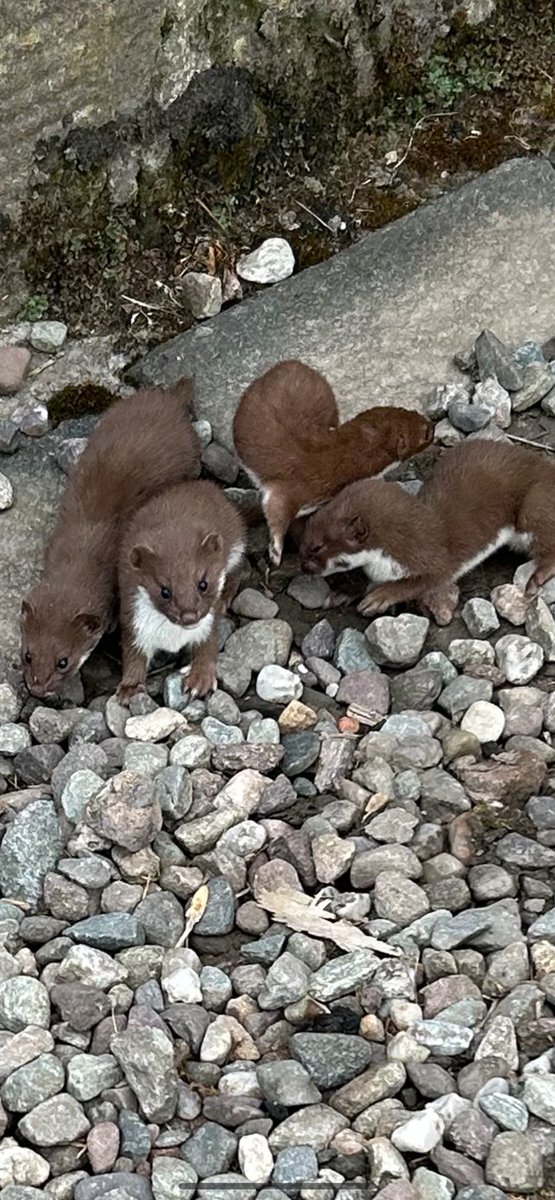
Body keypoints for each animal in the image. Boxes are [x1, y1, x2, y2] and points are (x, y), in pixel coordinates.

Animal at [116, 477, 245, 700]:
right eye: (164, 591)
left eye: (203, 583)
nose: (189, 616)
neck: (173, 636)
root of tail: (203, 483)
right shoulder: (134, 619)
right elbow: (133, 654)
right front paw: (130, 688)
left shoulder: (207, 623)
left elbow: (208, 645)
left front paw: (200, 679)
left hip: (236, 545)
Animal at [231, 357, 432, 564]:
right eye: (425, 433)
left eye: (411, 411)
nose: (431, 423)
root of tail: (292, 363)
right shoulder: (291, 487)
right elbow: (276, 511)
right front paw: (275, 554)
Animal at [301, 441, 555, 628]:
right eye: (305, 536)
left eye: (317, 547)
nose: (303, 567)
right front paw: (342, 593)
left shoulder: (431, 556)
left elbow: (423, 580)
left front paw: (378, 597)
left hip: (533, 504)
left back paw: (536, 578)